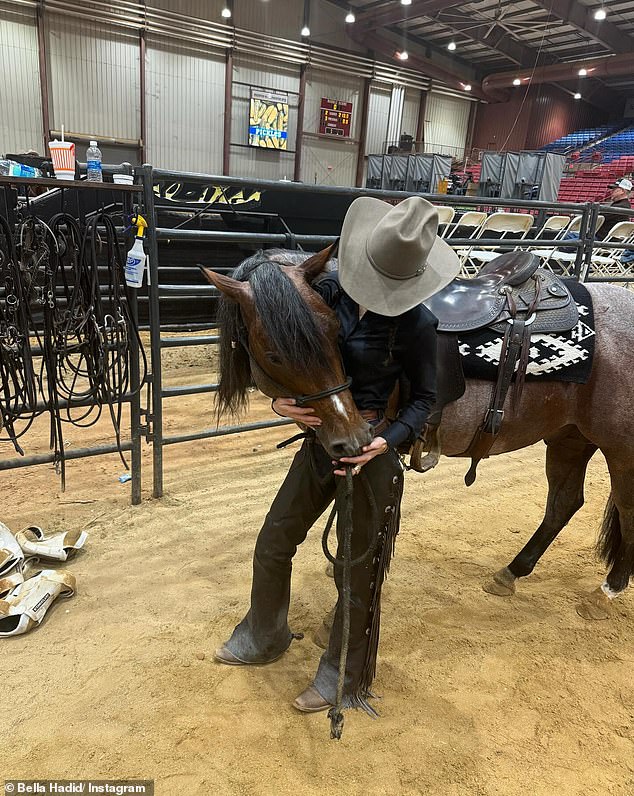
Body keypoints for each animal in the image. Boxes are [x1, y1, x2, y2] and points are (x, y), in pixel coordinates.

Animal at [202, 244, 632, 620]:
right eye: (274, 354)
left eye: (331, 331)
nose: (352, 436)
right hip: (570, 437)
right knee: (563, 504)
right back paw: (511, 572)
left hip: (619, 449)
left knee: (624, 511)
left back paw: (606, 591)